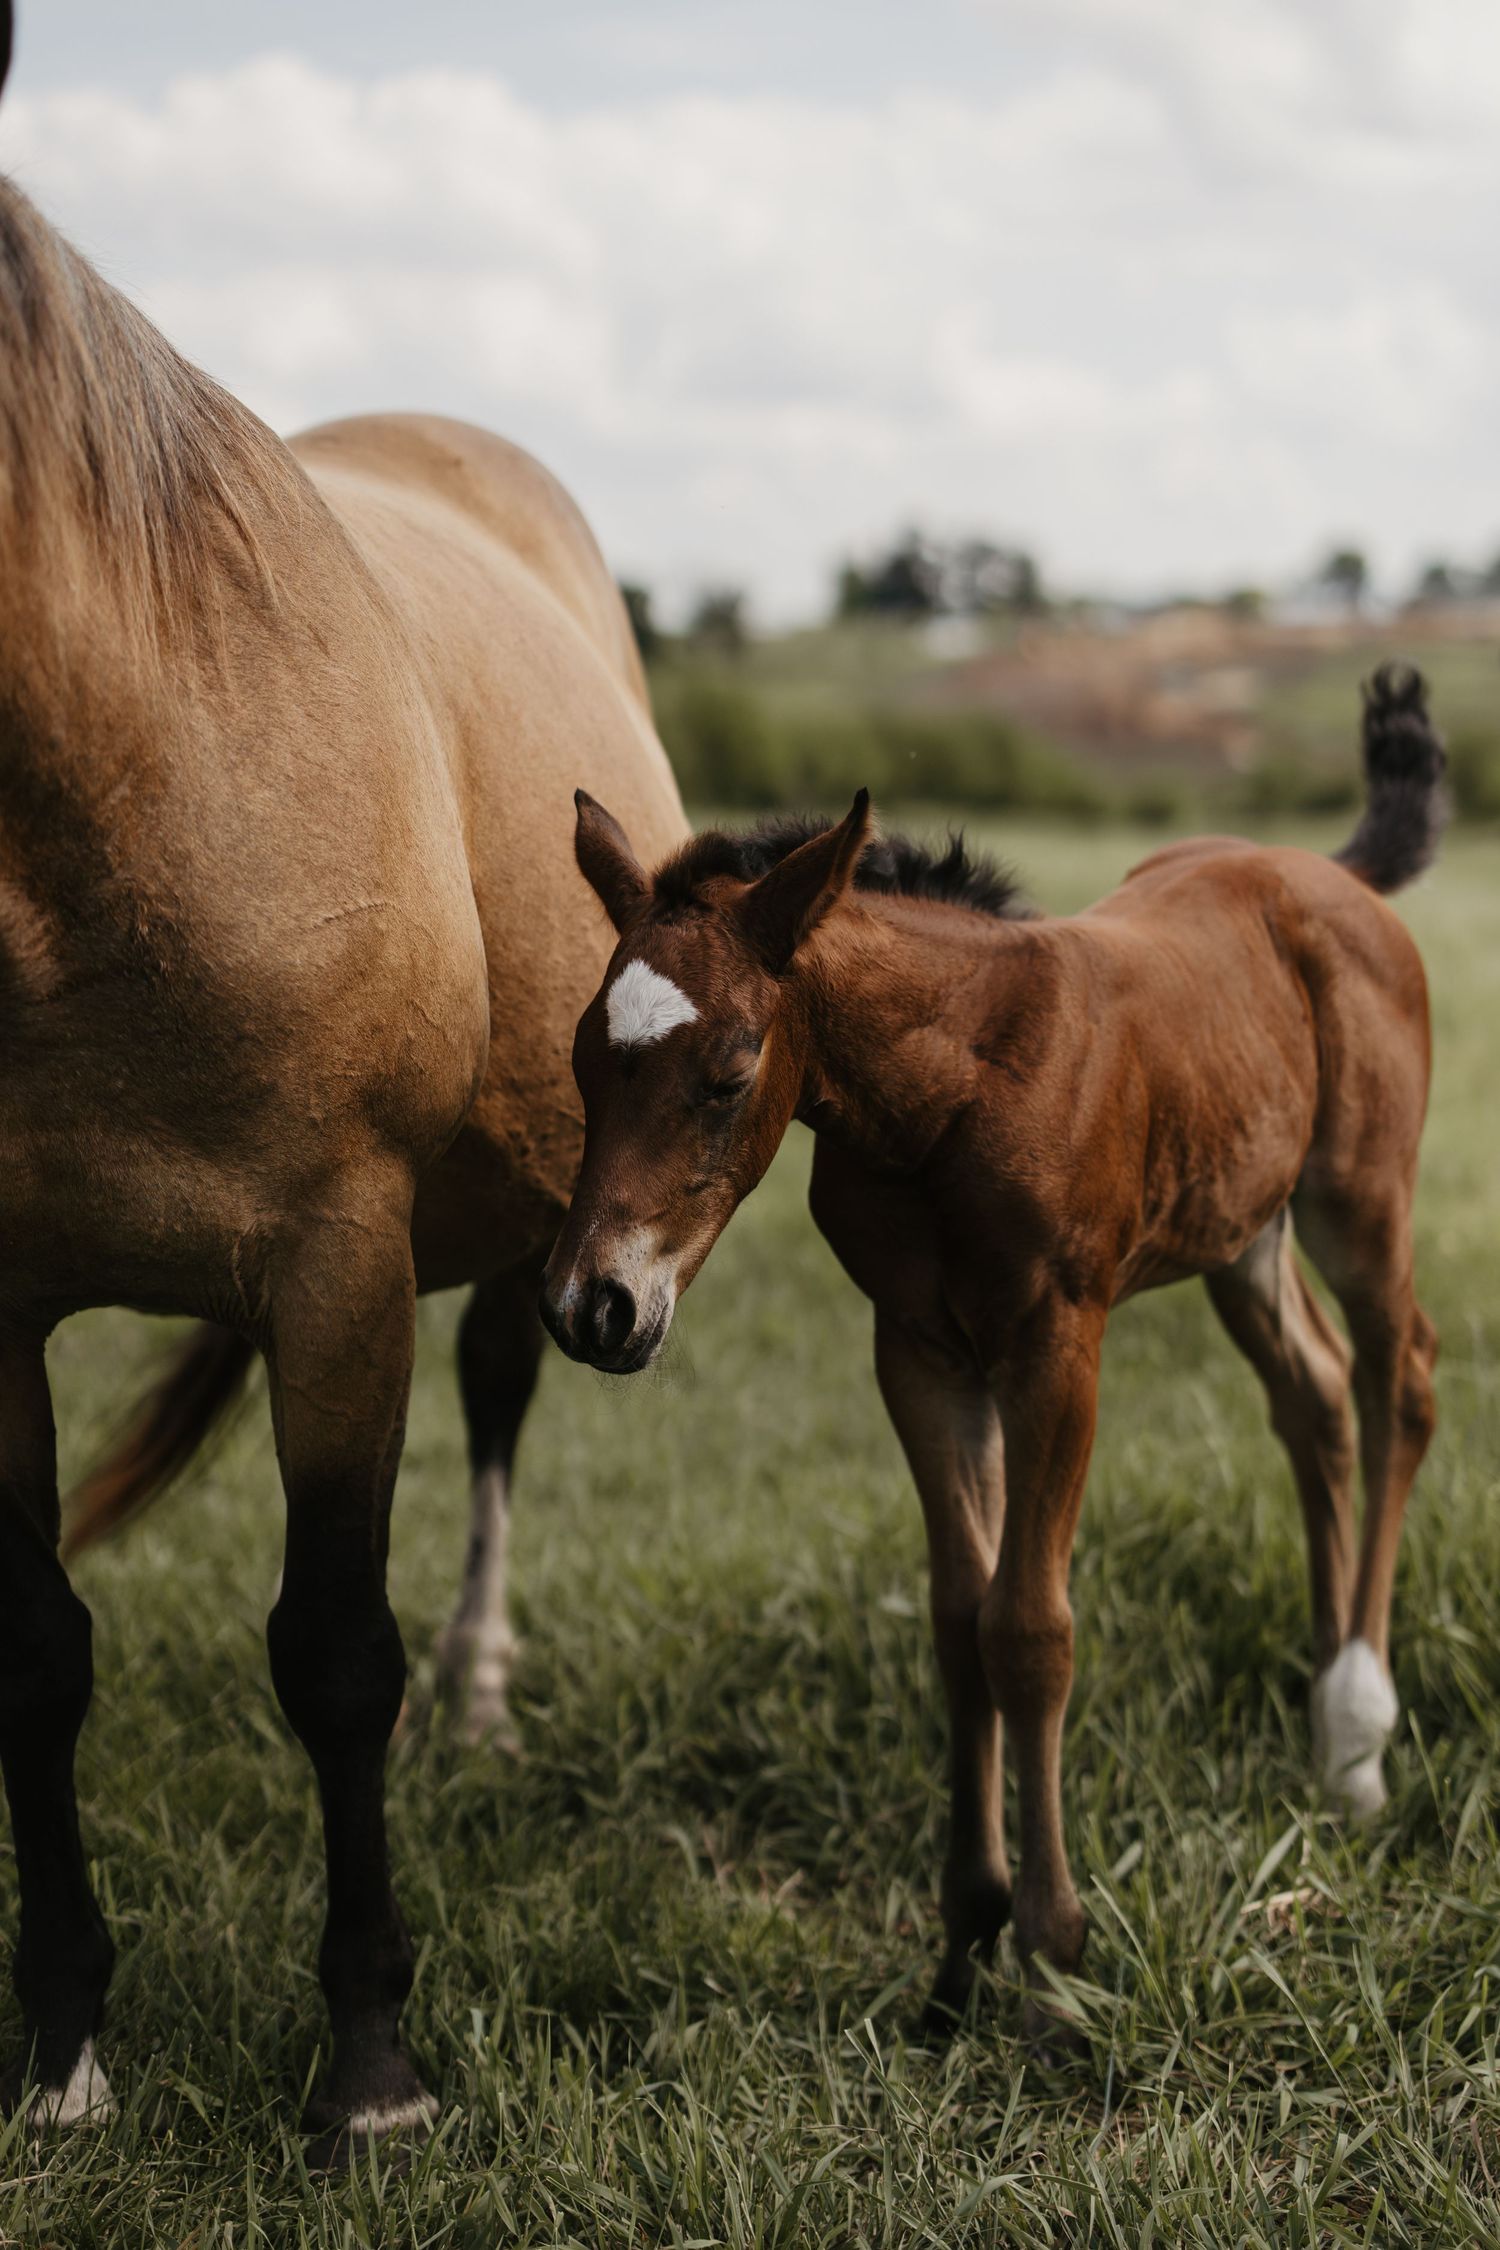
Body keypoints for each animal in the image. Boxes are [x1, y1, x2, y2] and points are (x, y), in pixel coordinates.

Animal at [0, 10, 686, 2155]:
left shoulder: (337, 1266)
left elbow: (333, 1655)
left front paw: (370, 2067)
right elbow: (37, 1650)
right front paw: (63, 2047)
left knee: (496, 1412)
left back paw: (484, 1683)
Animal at [539, 667, 1444, 2040]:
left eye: (730, 1072)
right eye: (586, 1063)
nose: (593, 1307)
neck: (948, 1097)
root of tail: (1327, 873)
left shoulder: (1057, 1342)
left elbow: (1030, 1628)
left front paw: (1054, 1954)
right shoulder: (917, 1350)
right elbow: (959, 1622)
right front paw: (962, 1943)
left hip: (1359, 1199)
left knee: (1403, 1385)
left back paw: (1356, 1736)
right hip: (1243, 1228)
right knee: (1320, 1394)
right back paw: (1324, 1708)